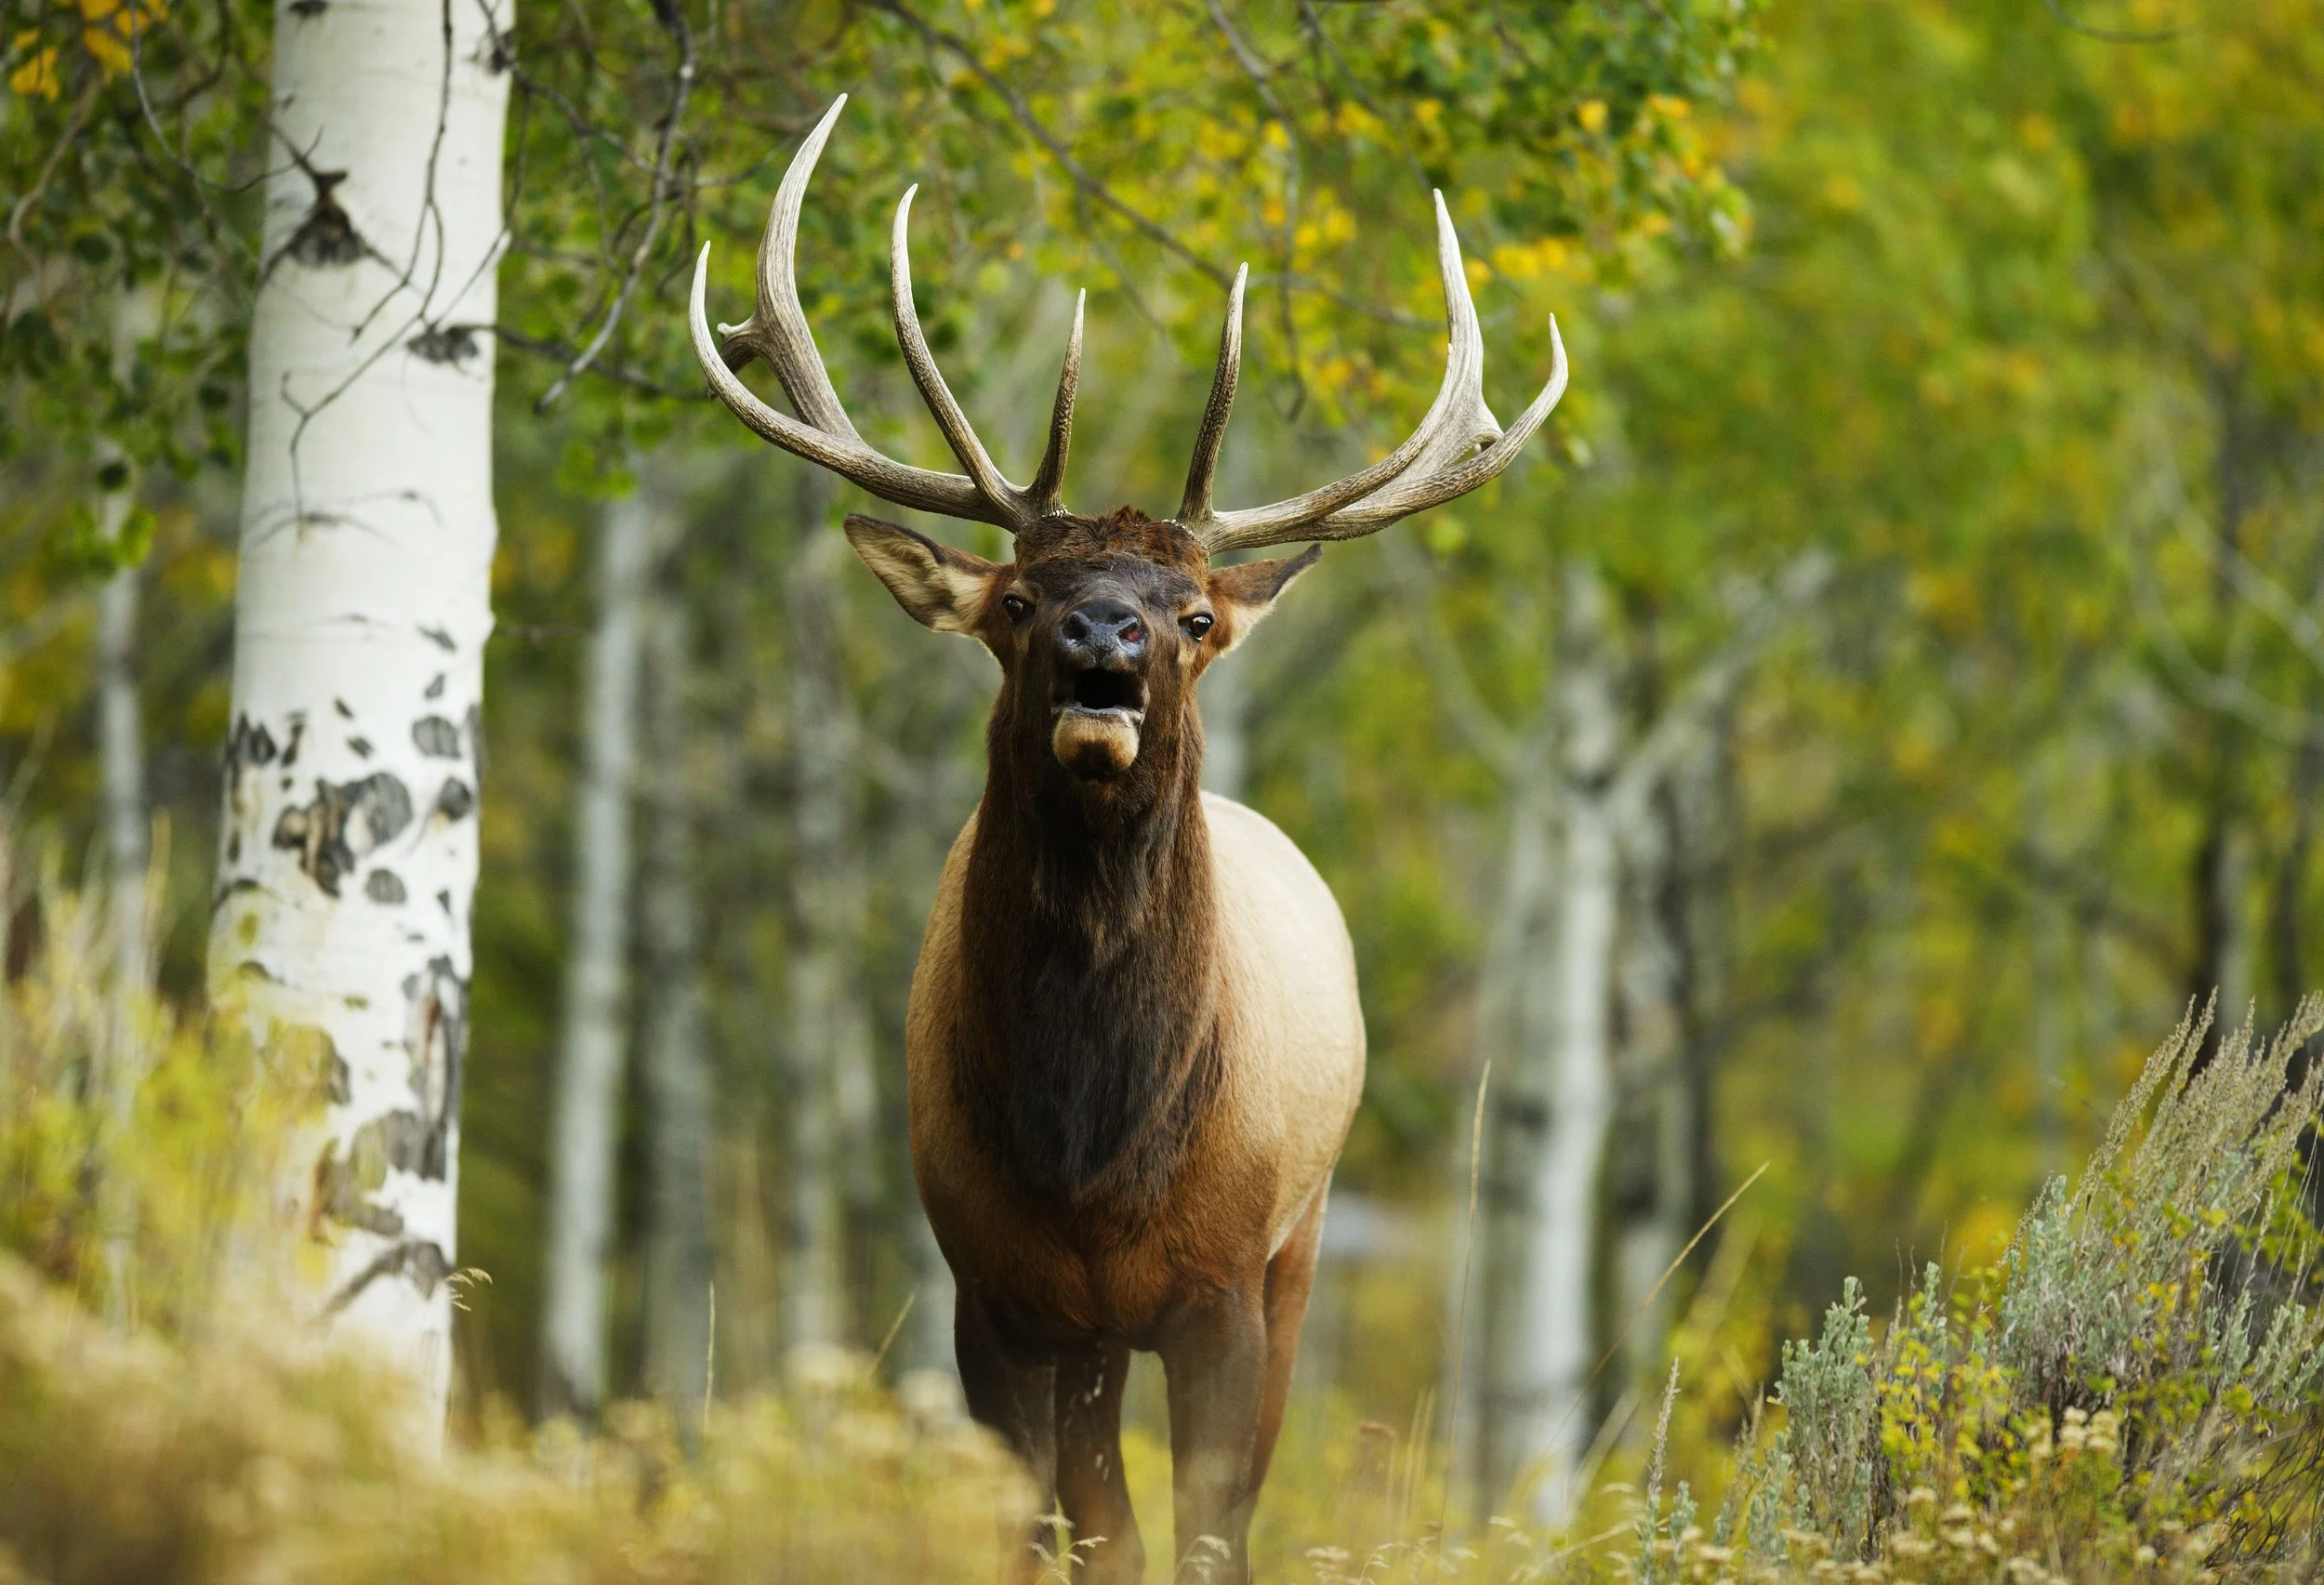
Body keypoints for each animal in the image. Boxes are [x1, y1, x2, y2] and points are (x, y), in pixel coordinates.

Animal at [687, 97, 1566, 1584]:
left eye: (1197, 615)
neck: (1089, 1152)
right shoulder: (990, 1289)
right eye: (1018, 598)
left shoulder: (1221, 1286)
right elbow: (1058, 1531)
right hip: (1098, 1331)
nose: (1108, 633)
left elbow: (1211, 1528)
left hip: (1302, 1245)